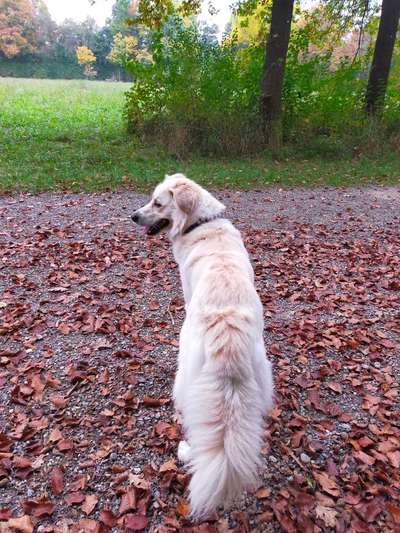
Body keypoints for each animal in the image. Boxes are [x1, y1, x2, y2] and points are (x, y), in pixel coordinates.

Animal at [133, 174, 274, 516]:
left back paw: (186, 450)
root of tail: (228, 335)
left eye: (158, 203)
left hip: (186, 375)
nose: (133, 216)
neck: (200, 223)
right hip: (262, 374)